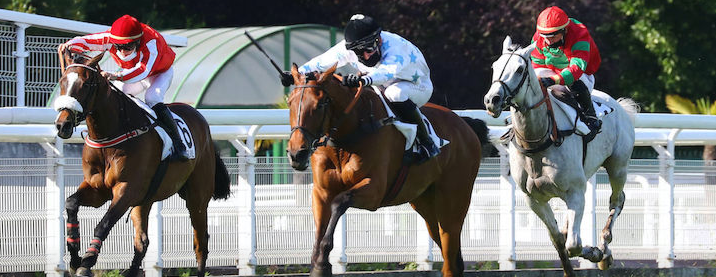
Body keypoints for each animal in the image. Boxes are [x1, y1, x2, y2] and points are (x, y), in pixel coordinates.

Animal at [54, 52, 231, 276]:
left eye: (85, 84)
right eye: (62, 81)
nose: (62, 124)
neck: (111, 134)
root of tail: (202, 120)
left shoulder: (126, 190)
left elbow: (103, 224)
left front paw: (87, 261)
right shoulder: (97, 189)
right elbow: (71, 203)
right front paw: (75, 256)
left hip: (197, 197)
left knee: (201, 241)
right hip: (145, 199)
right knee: (142, 242)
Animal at [286, 62, 492, 276]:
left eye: (319, 105)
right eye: (290, 102)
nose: (297, 153)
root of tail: (465, 125)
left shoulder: (375, 191)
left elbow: (339, 202)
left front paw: (323, 261)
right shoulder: (321, 192)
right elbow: (319, 228)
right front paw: (318, 262)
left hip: (453, 201)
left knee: (450, 258)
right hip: (425, 203)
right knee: (452, 255)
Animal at [482, 36, 636, 276]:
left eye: (519, 69)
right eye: (494, 66)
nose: (492, 100)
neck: (537, 140)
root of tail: (619, 105)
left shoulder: (576, 191)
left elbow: (574, 244)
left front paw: (595, 252)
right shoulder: (533, 199)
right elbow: (559, 240)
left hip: (618, 166)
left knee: (617, 200)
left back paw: (604, 248)